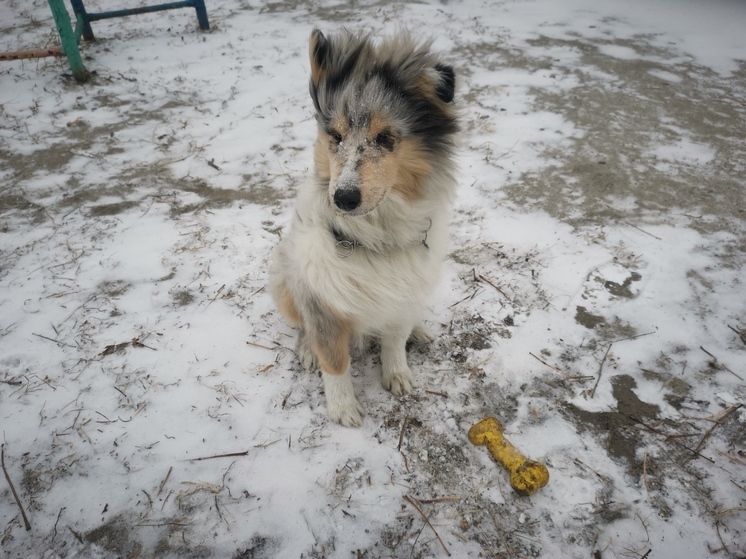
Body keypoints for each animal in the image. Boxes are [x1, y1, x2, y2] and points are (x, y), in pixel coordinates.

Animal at [268, 28, 454, 426]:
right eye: (335, 137)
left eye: (385, 139)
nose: (344, 198)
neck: (375, 235)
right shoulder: (321, 298)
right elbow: (334, 358)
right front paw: (343, 408)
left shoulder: (403, 290)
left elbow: (395, 339)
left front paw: (397, 373)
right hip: (286, 282)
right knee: (302, 325)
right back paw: (306, 349)